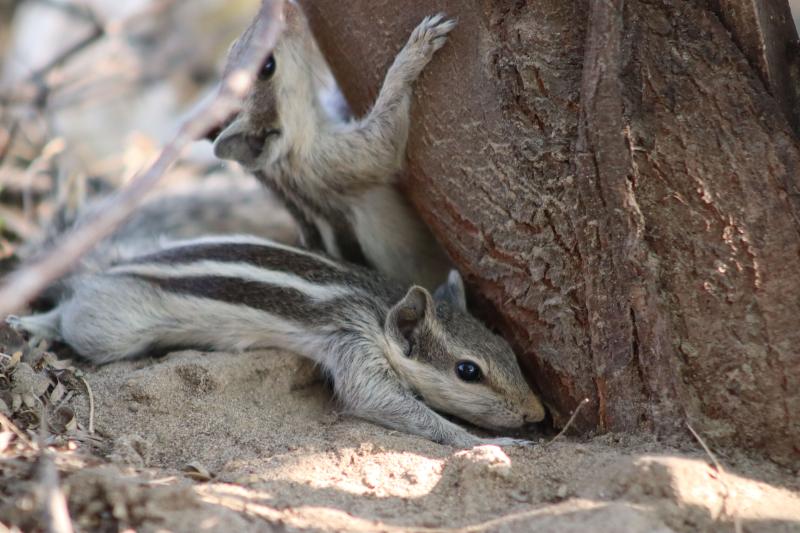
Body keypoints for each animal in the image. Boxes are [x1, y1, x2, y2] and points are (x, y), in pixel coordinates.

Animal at [8, 235, 545, 447]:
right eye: (468, 371)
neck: (379, 305)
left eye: (507, 349)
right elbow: (382, 402)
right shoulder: (355, 346)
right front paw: (484, 441)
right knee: (72, 313)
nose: (537, 414)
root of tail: (112, 270)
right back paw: (35, 323)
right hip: (114, 329)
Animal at [207, 2, 454, 291]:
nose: (286, 5)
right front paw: (412, 54)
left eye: (234, 48)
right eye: (267, 66)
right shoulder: (332, 161)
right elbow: (384, 140)